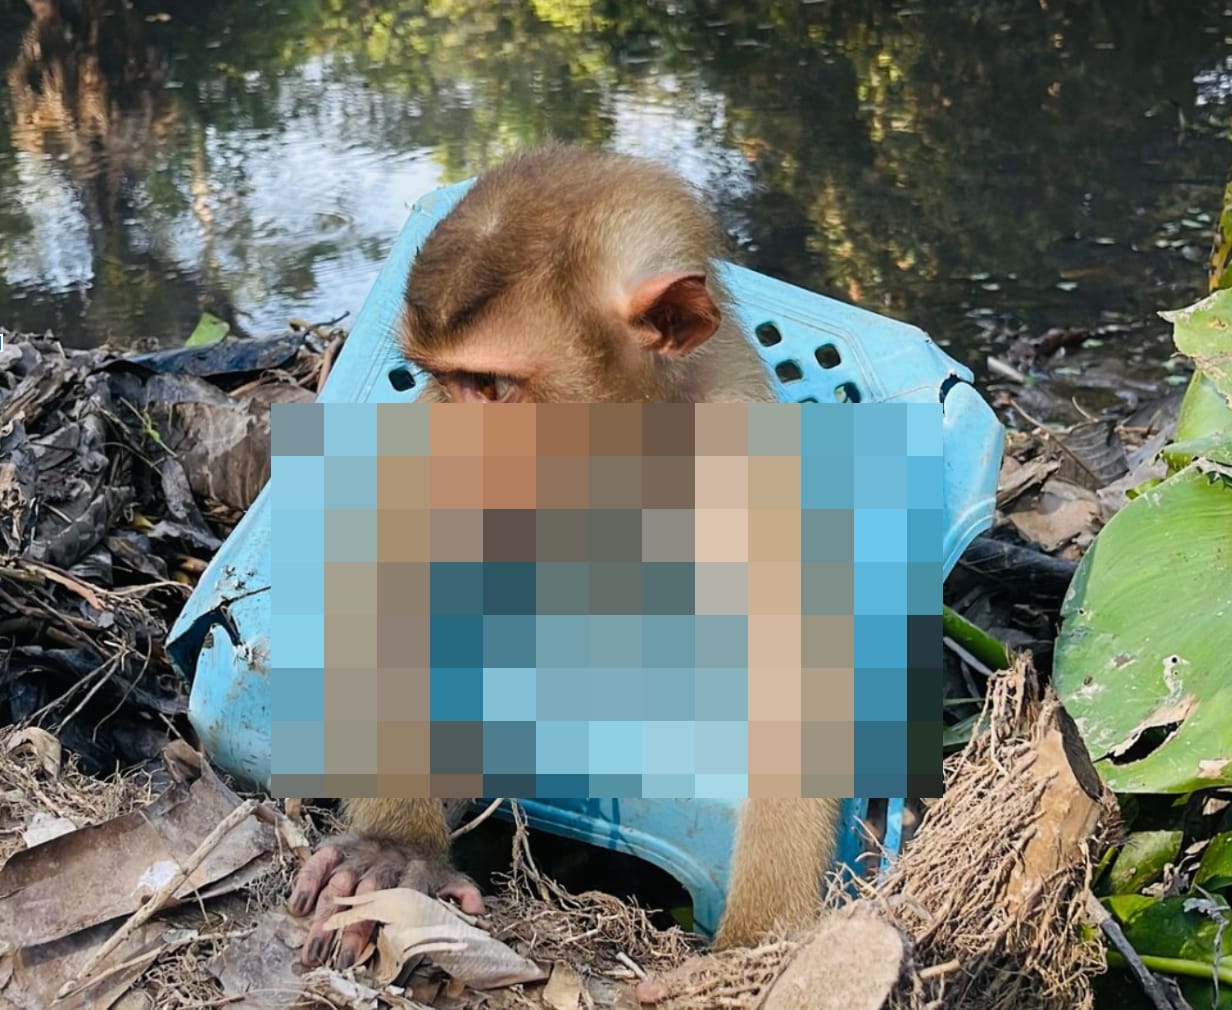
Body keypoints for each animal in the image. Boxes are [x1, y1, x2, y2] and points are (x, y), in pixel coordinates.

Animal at [288, 143, 844, 967]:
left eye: (492, 385)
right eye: (443, 381)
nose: (452, 452)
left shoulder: (753, 468)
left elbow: (796, 682)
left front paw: (757, 943)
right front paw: (397, 849)